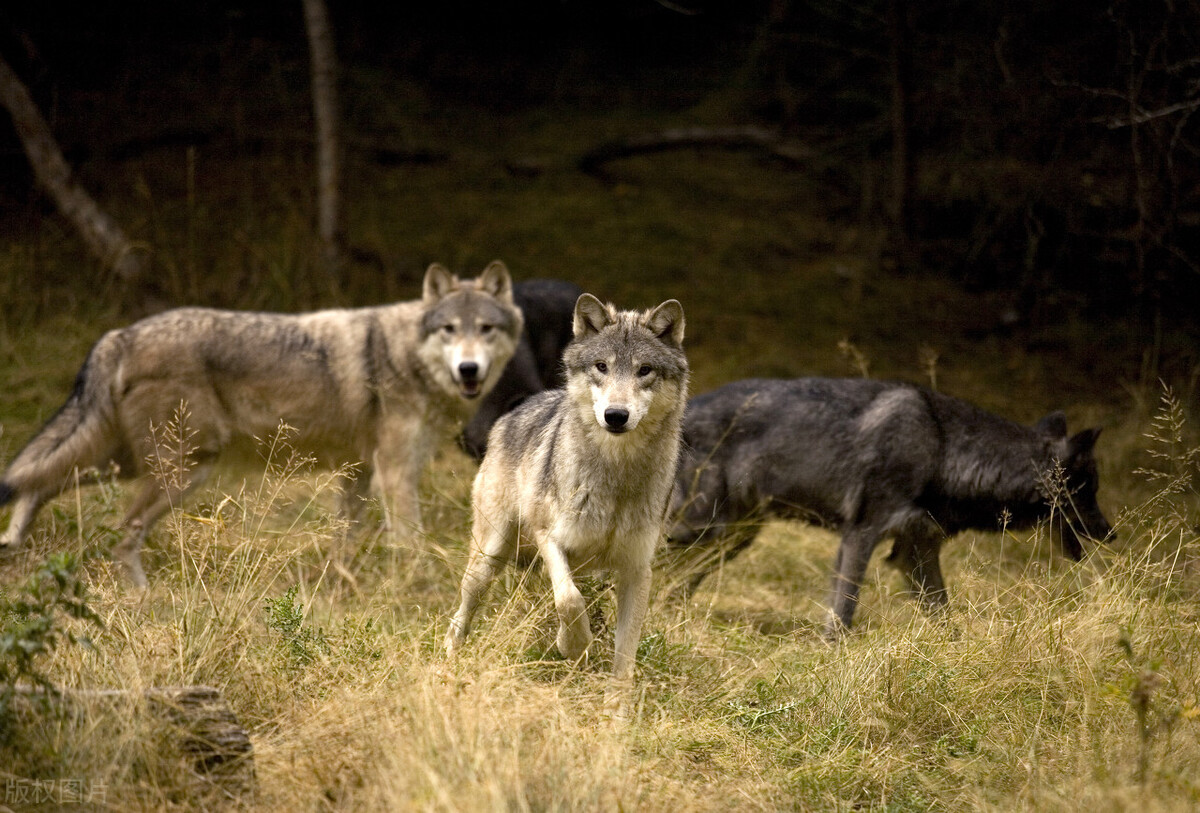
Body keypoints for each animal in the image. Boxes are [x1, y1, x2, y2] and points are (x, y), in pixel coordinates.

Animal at [1, 261, 525, 585]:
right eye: (449, 330)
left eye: (486, 329)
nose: (469, 370)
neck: (403, 356)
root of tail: (121, 334)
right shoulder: (394, 473)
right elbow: (411, 542)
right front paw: (416, 585)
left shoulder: (357, 472)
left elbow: (343, 541)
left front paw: (343, 586)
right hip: (180, 471)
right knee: (119, 531)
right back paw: (142, 596)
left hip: (129, 463)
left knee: (38, 483)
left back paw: (12, 542)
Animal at [662, 378, 1108, 637]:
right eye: (1087, 492)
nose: (1111, 532)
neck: (943, 449)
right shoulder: (861, 535)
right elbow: (843, 612)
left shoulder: (914, 552)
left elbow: (945, 617)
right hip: (701, 529)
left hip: (732, 539)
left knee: (676, 585)